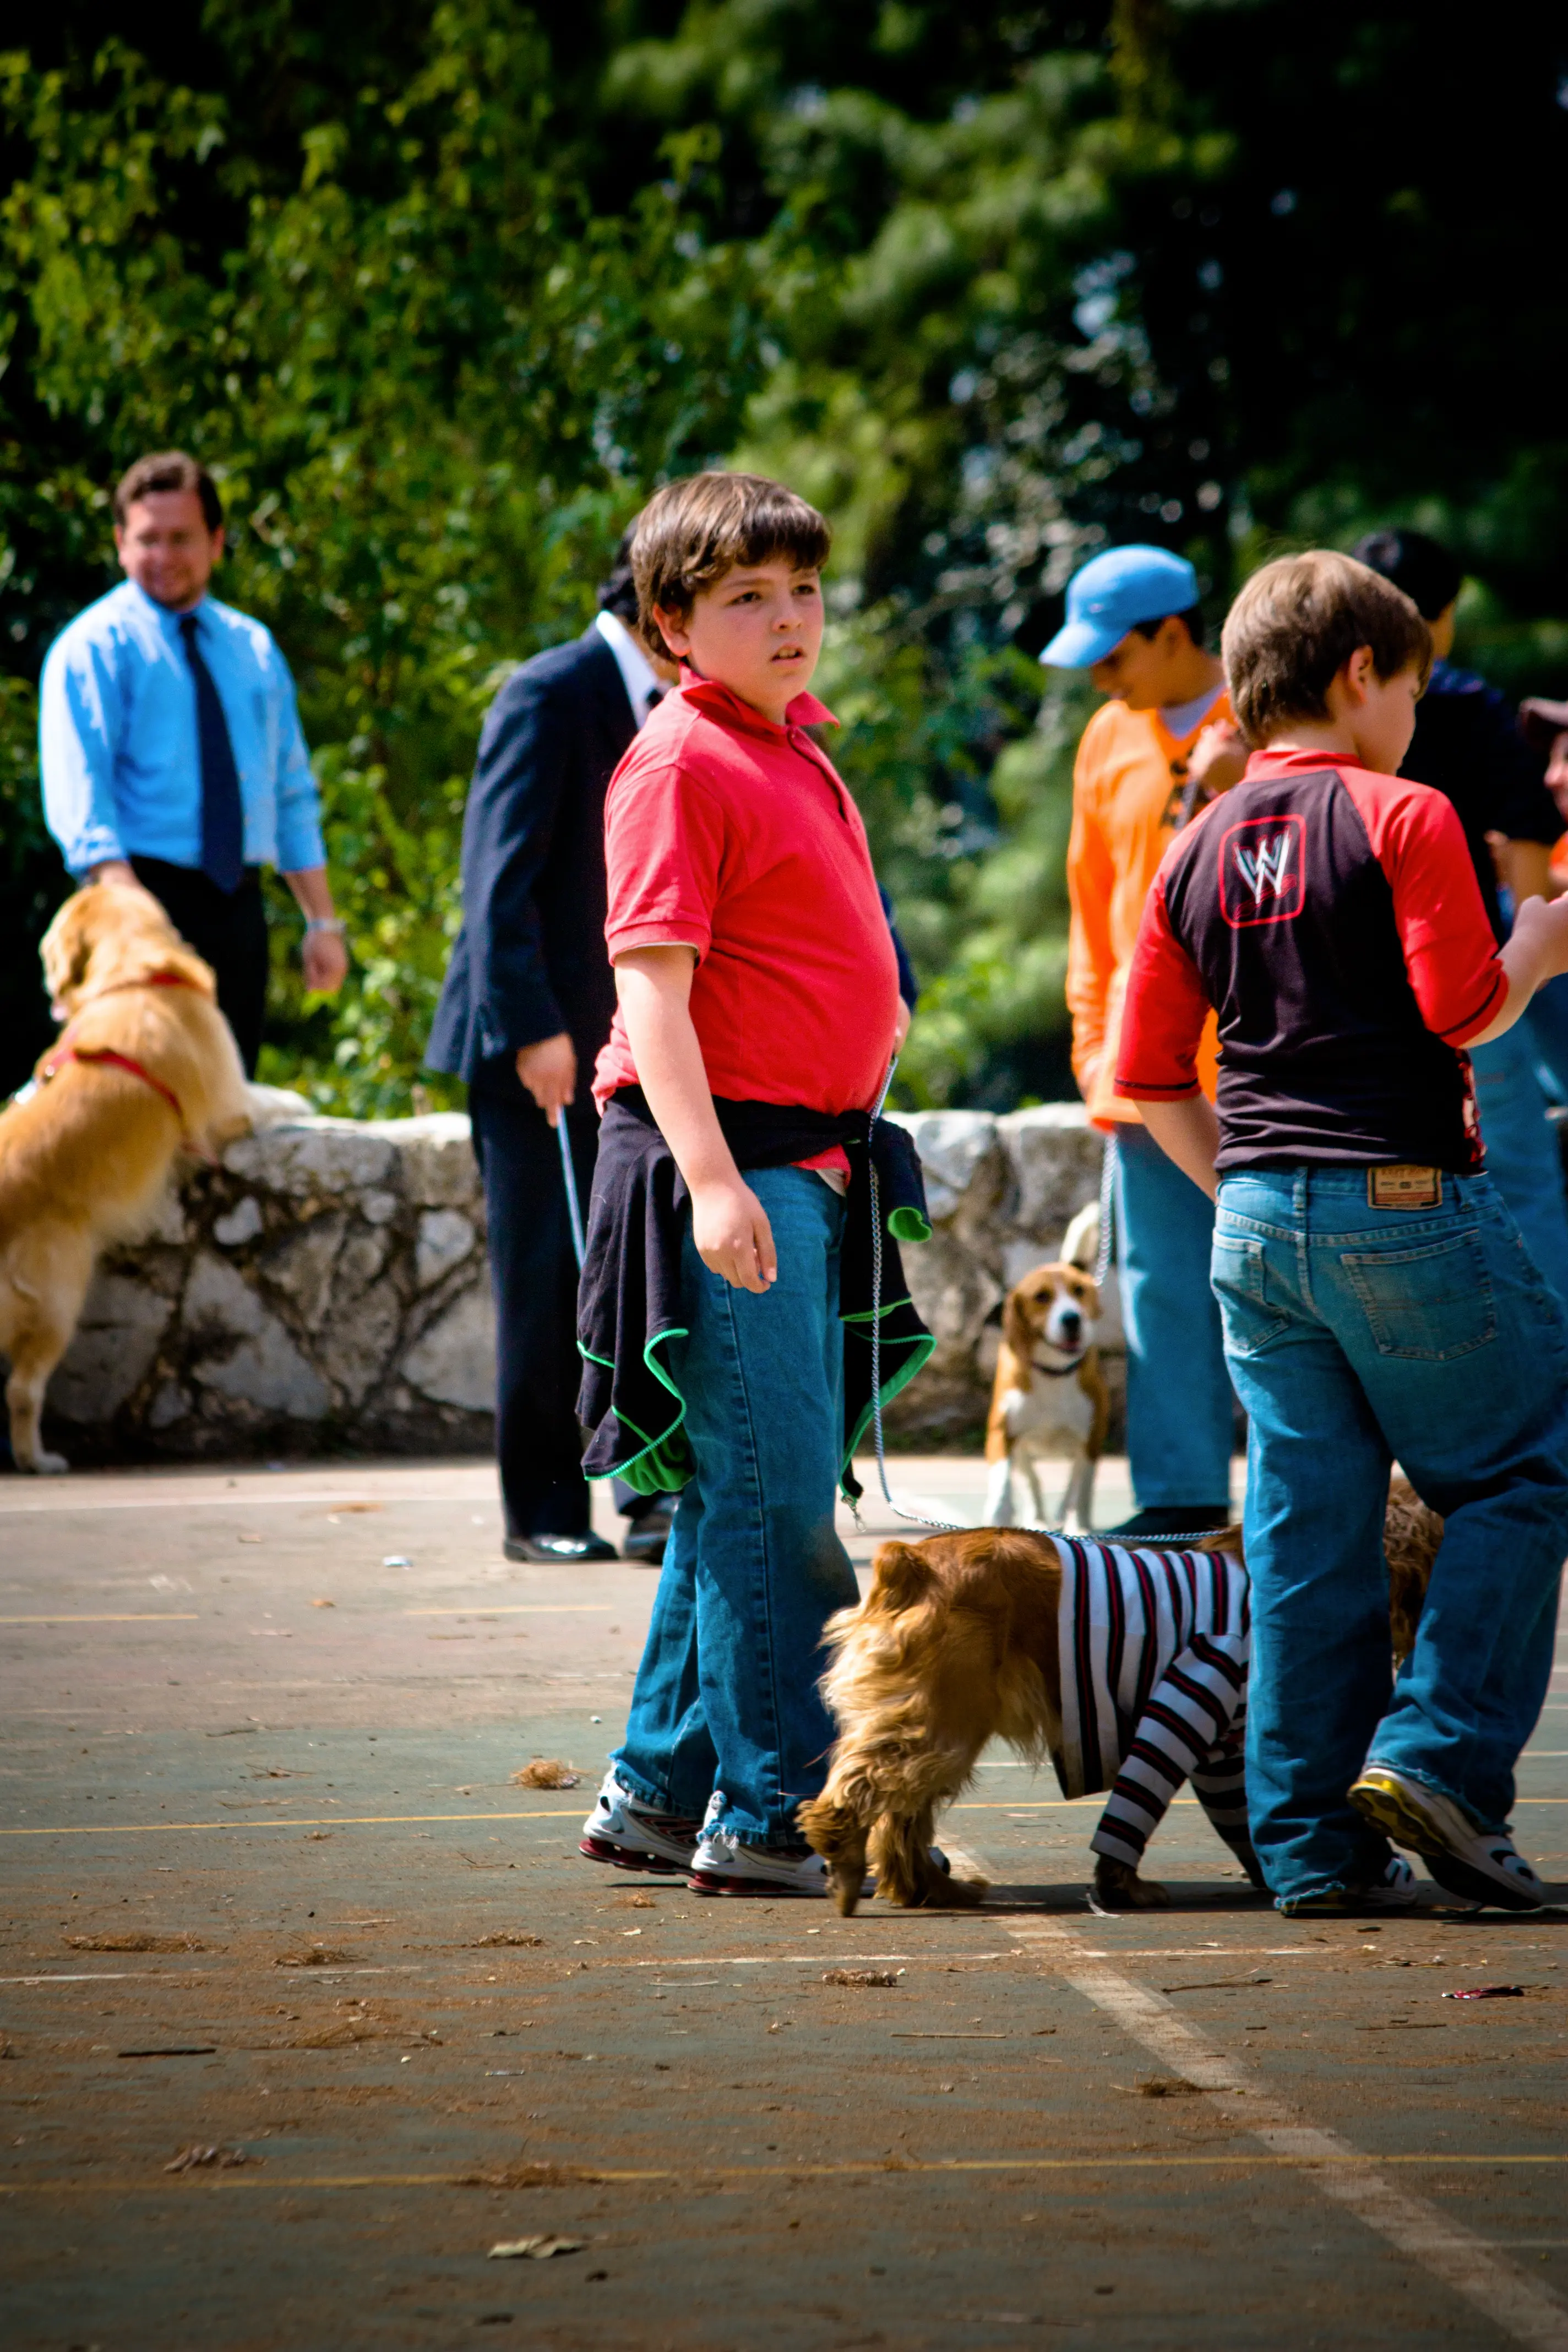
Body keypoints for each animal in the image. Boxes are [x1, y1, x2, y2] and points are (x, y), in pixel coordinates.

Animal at [1, 884, 251, 1467]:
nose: (45, 980)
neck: (133, 974)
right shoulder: (230, 1111)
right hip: (59, 1296)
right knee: (23, 1390)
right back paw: (37, 1460)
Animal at [804, 1486, 1439, 1909]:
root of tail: (909, 1560)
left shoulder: (1223, 1752)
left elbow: (1238, 1811)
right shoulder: (1187, 1702)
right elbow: (1134, 1811)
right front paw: (1121, 1887)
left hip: (943, 1730)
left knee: (902, 1813)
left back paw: (930, 1887)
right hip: (942, 1725)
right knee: (868, 1787)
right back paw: (843, 1851)